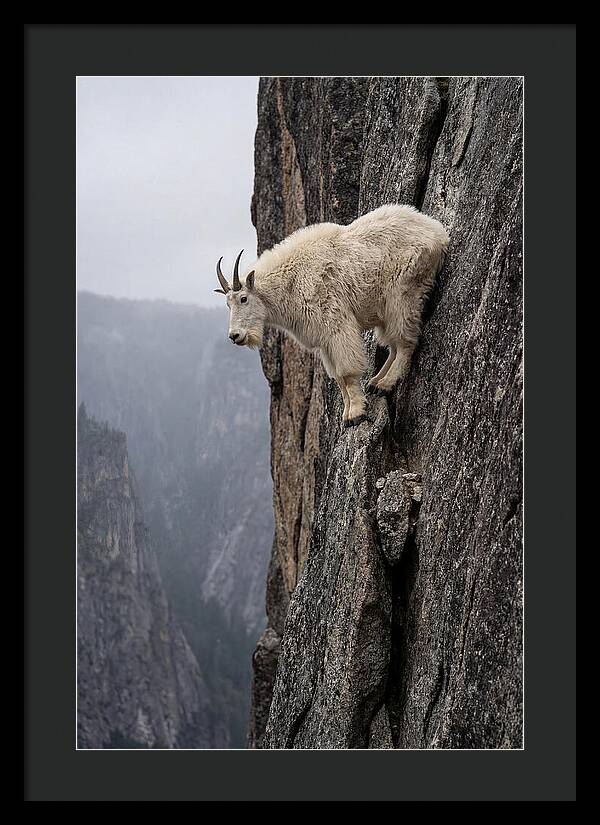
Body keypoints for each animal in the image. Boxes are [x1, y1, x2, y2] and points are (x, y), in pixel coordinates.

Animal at [214, 204, 449, 425]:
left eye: (243, 299)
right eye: (227, 304)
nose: (235, 336)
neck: (290, 282)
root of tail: (438, 232)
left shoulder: (336, 324)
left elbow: (346, 372)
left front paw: (356, 413)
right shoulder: (324, 340)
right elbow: (337, 377)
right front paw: (347, 413)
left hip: (403, 294)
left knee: (405, 341)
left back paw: (385, 384)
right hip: (385, 309)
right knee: (393, 344)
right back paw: (375, 382)